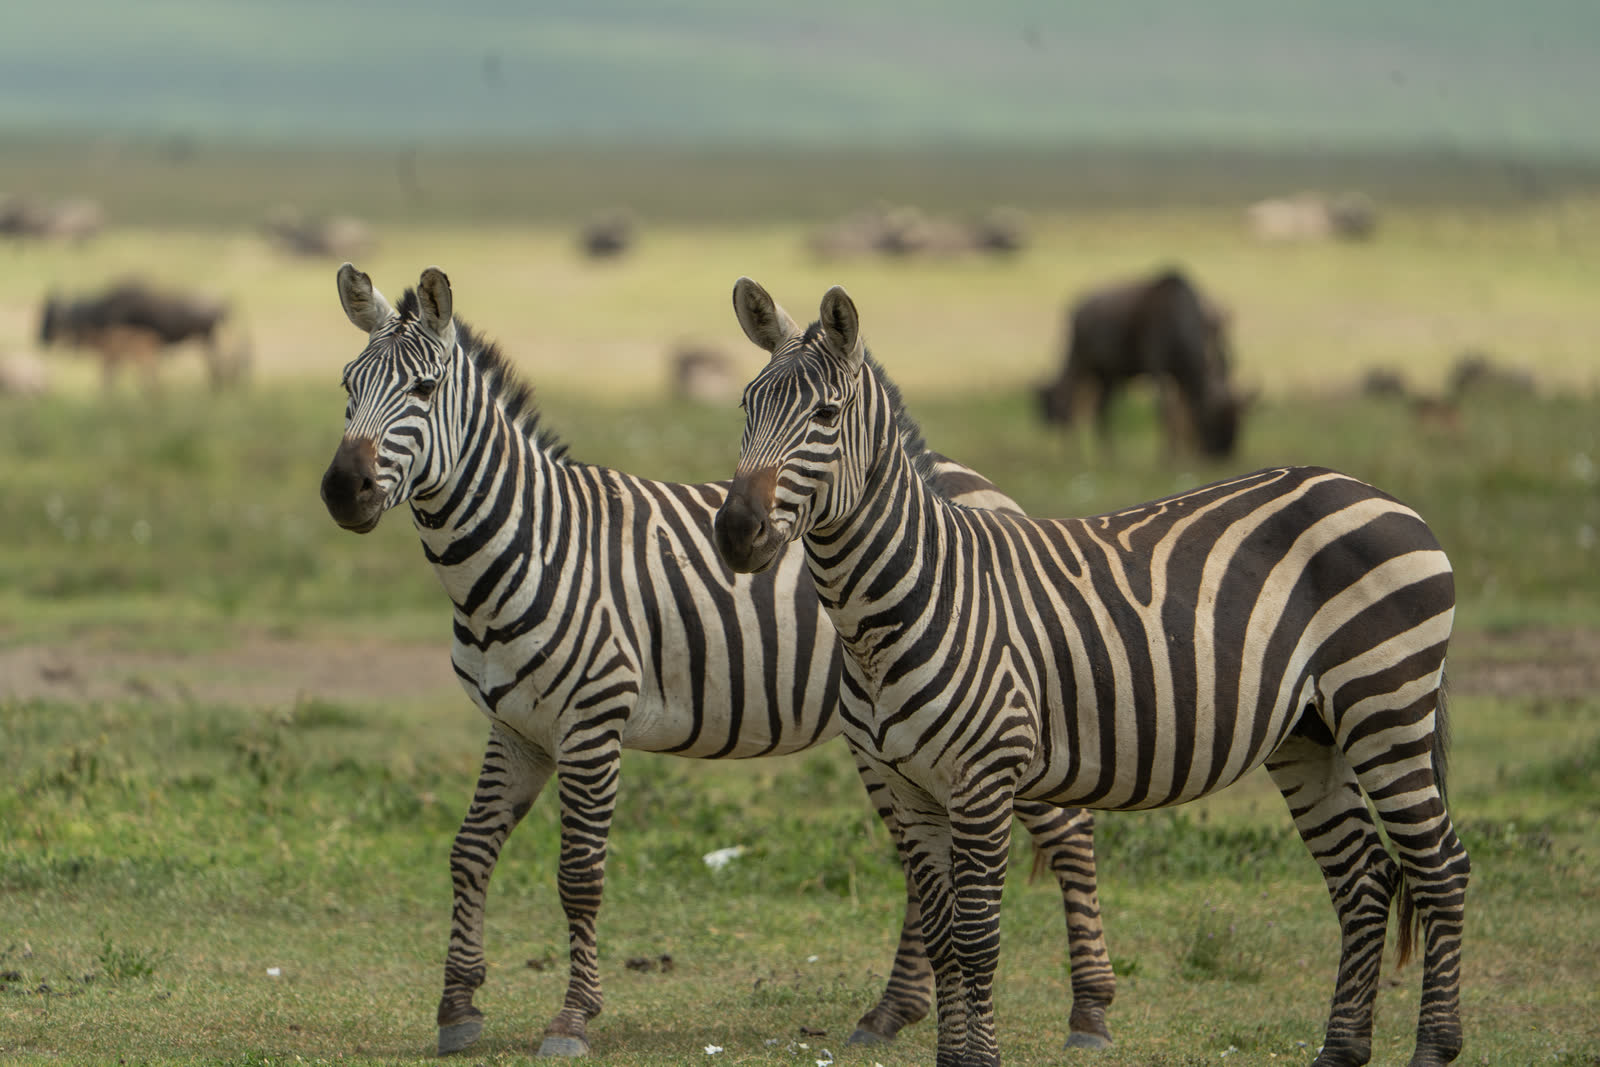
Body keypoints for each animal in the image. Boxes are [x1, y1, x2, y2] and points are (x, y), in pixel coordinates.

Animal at [317, 266, 1118, 1057]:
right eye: (347, 385)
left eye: (423, 390)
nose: (342, 490)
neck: (528, 544)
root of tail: (986, 487)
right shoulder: (516, 728)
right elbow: (470, 851)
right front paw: (457, 1007)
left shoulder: (591, 722)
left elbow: (579, 876)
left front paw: (571, 1019)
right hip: (901, 742)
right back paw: (891, 1011)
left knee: (1072, 837)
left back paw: (1089, 1012)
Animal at [713, 278, 1470, 1067]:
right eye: (745, 406)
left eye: (826, 415)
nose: (735, 532)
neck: (896, 607)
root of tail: (1373, 491)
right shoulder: (906, 785)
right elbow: (945, 936)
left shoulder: (984, 776)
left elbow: (977, 940)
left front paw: (978, 1057)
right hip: (1310, 731)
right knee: (1364, 878)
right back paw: (1339, 1052)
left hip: (1386, 702)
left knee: (1439, 868)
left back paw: (1433, 1047)